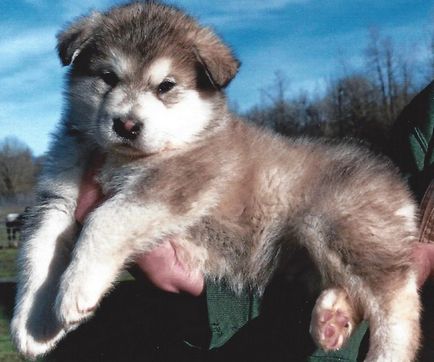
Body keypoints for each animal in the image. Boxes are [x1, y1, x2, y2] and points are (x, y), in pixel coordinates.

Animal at [11, 1, 420, 360]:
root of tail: (393, 179)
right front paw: (33, 323)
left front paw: (75, 289)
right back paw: (331, 320)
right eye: (108, 77)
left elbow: (104, 219)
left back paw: (387, 353)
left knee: (397, 298)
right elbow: (38, 252)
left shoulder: (176, 182)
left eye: (166, 86)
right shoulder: (57, 197)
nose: (126, 125)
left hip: (338, 227)